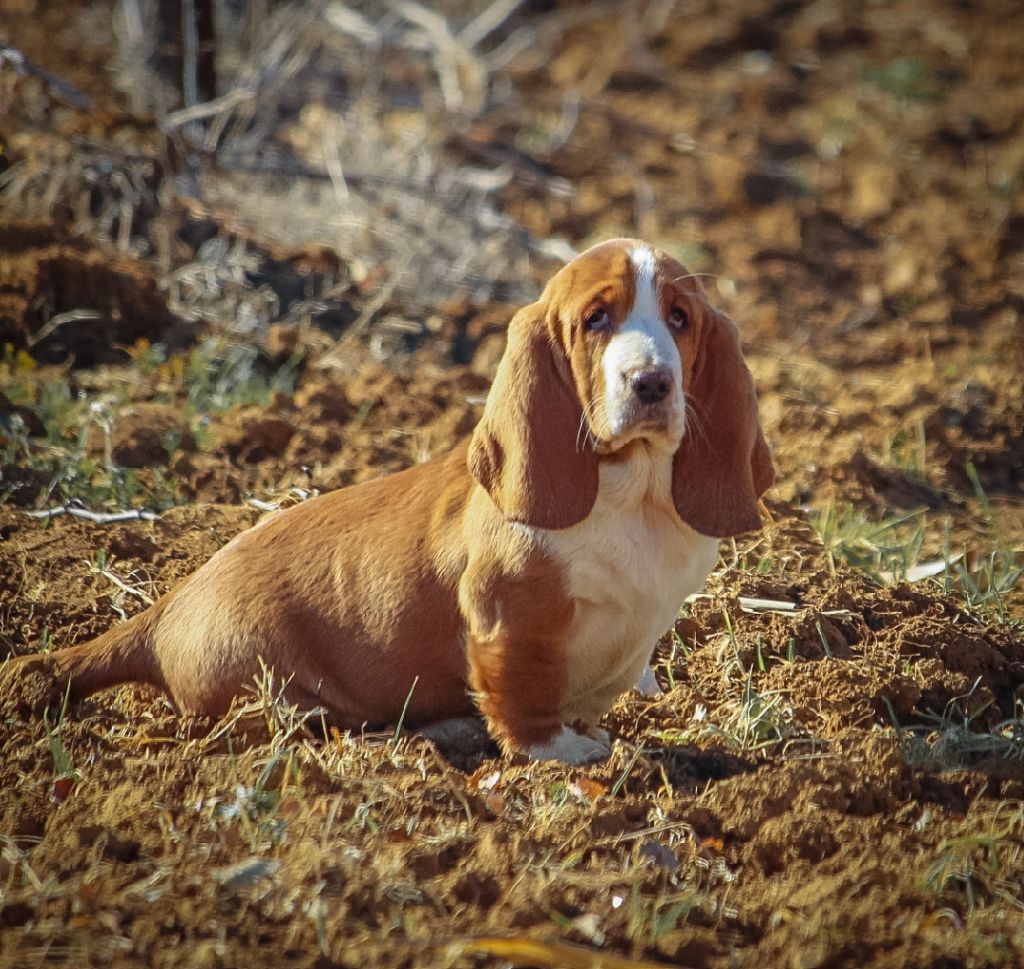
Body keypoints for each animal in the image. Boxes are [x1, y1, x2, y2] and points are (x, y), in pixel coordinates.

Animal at [0, 237, 770, 757]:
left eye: (679, 319)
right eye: (596, 320)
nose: (651, 383)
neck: (630, 491)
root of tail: (164, 612)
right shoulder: (510, 614)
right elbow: (524, 694)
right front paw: (564, 754)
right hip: (269, 686)